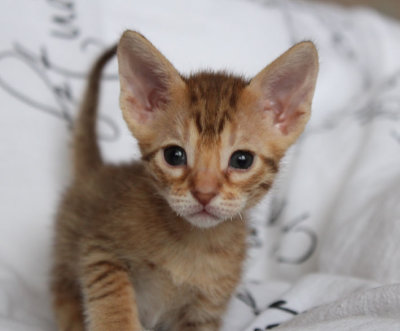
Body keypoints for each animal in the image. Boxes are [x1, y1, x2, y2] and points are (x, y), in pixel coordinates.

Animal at [50, 31, 318, 331]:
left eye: (242, 160)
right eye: (174, 155)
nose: (204, 193)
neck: (194, 243)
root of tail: (99, 168)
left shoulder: (204, 310)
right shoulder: (100, 246)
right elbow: (111, 293)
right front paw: (118, 323)